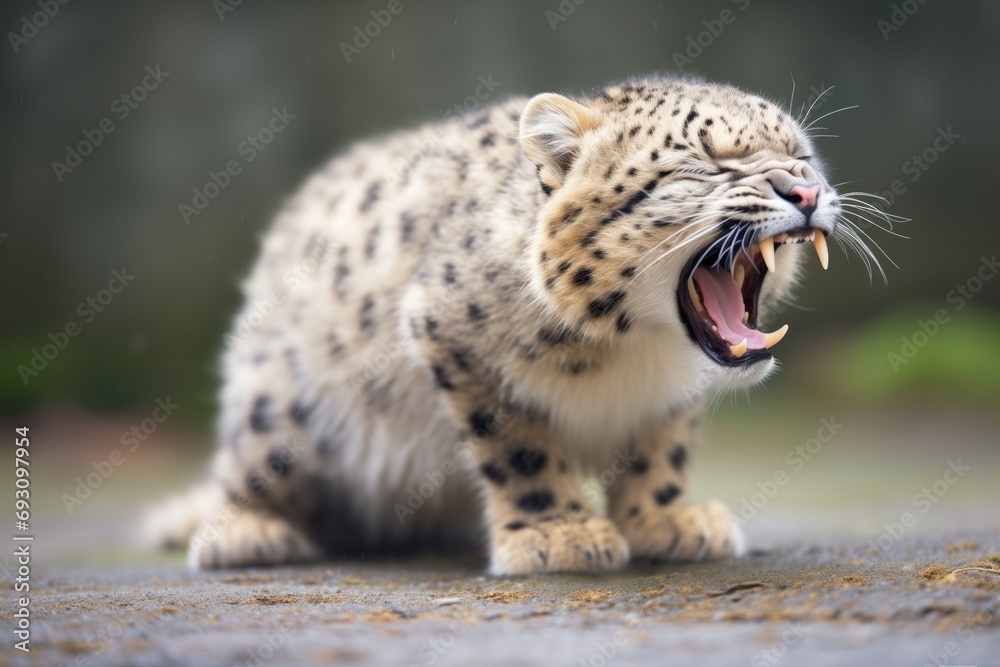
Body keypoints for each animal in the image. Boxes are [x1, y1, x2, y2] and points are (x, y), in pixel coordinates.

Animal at [146, 75, 851, 575]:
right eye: (706, 162)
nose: (807, 191)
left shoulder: (670, 397)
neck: (638, 352)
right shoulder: (451, 336)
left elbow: (663, 444)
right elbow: (516, 445)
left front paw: (666, 520)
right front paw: (557, 533)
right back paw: (247, 531)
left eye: (802, 155)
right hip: (279, 417)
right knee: (244, 471)